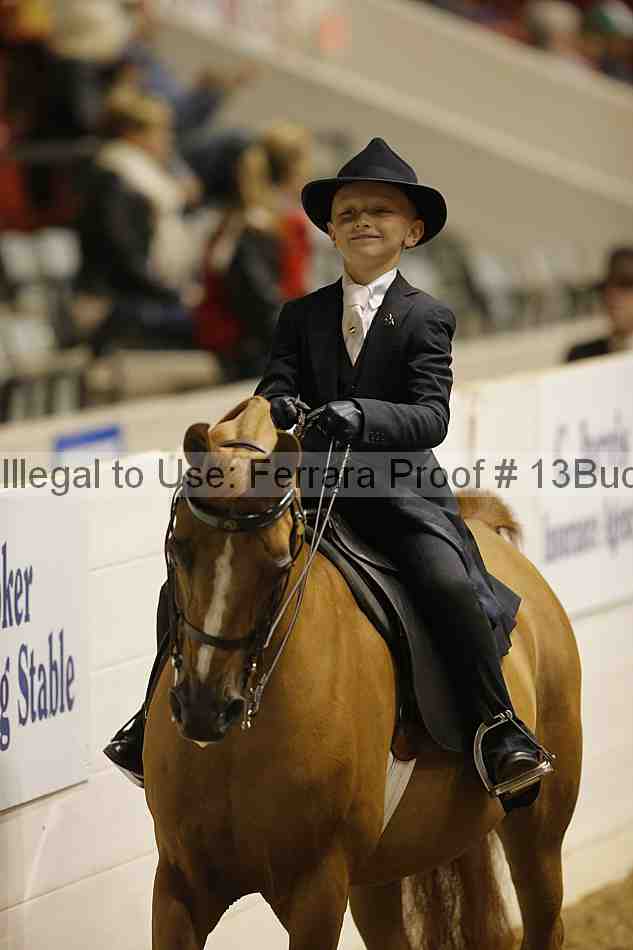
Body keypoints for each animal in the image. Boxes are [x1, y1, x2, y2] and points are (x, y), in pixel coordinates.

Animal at [144, 395, 582, 950]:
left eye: (278, 561)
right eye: (178, 547)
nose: (204, 709)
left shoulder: (318, 888)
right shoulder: (179, 884)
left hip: (537, 832)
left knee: (546, 917)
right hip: (378, 876)